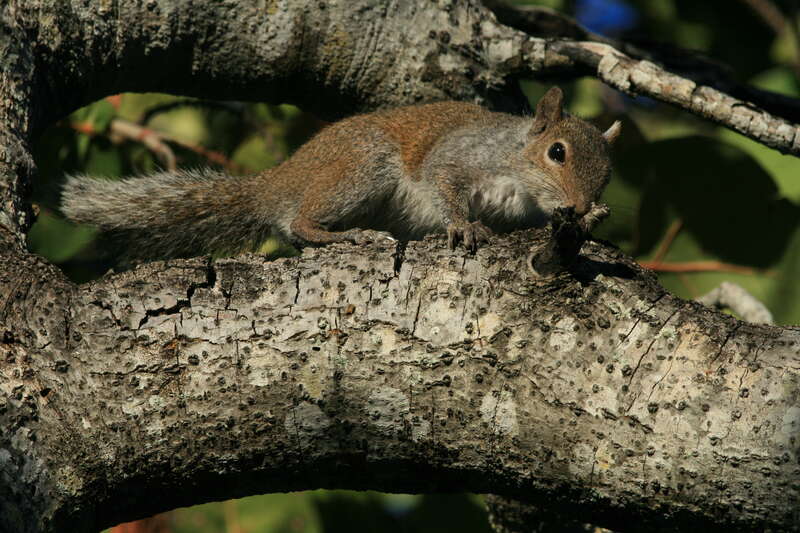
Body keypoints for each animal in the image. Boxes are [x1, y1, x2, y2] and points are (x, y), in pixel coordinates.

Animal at [61, 87, 620, 260]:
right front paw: (463, 225)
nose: (578, 207)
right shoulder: (461, 157)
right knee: (298, 223)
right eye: (557, 152)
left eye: (608, 176)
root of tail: (278, 181)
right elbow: (444, 183)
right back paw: (345, 236)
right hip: (361, 168)